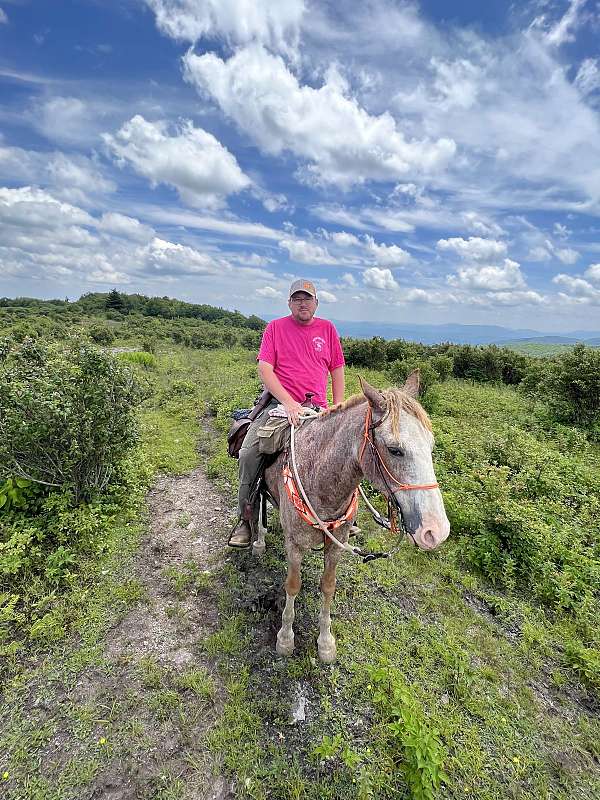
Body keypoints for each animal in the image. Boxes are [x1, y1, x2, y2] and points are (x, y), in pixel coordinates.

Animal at [255, 374, 448, 664]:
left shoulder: (337, 545)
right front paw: (285, 639)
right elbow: (292, 586)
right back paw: (256, 540)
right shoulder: (294, 545)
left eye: (431, 444)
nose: (436, 531)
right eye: (395, 450)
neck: (320, 478)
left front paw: (325, 643)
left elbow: (328, 587)